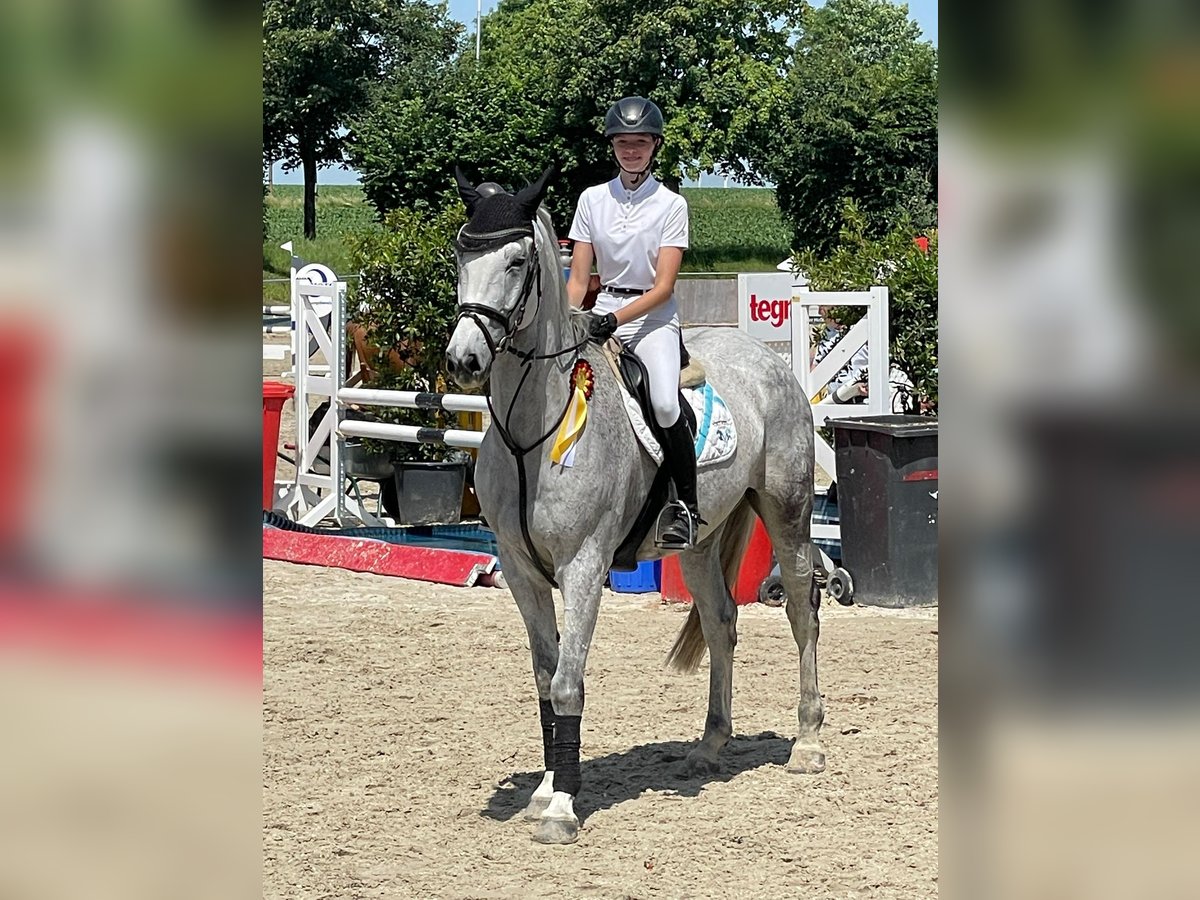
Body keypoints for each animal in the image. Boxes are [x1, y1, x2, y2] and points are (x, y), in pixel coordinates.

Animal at [445, 166, 825, 845]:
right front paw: (546, 789)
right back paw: (709, 746)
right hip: (701, 540)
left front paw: (562, 808)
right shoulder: (519, 570)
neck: (530, 434)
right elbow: (545, 680)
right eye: (461, 255)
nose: (464, 360)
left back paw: (807, 742)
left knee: (802, 611)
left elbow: (569, 681)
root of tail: (765, 358)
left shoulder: (584, 566)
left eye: (517, 261)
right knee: (722, 621)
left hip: (786, 510)